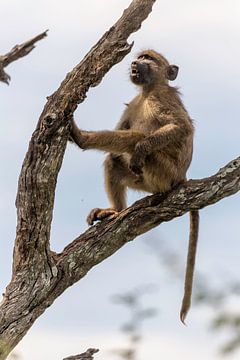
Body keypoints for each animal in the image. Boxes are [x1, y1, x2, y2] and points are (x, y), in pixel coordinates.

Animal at [70, 49, 200, 322]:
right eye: (139, 57)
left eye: (148, 59)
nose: (134, 63)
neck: (147, 91)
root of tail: (181, 178)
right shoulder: (134, 102)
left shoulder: (162, 97)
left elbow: (180, 127)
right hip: (143, 179)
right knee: (113, 160)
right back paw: (116, 211)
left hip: (162, 173)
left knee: (136, 140)